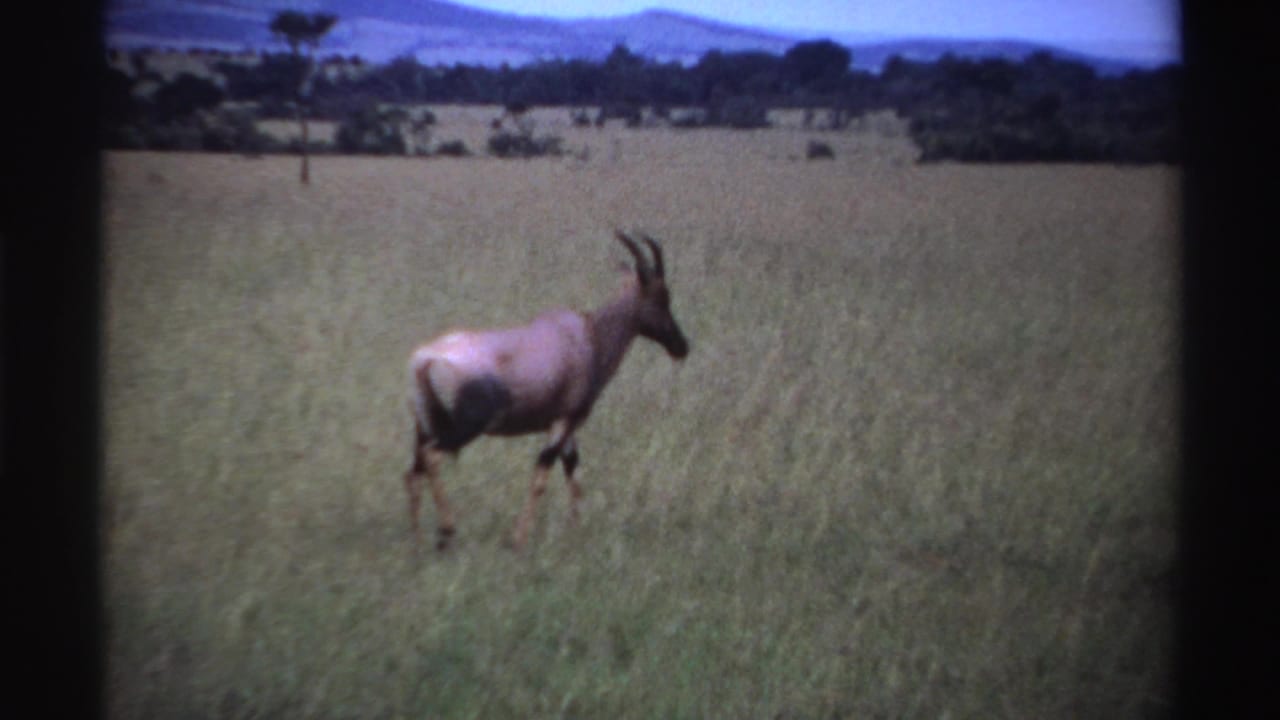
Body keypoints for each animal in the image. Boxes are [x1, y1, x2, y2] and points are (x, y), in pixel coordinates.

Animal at [404, 231, 690, 551]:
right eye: (661, 297)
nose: (681, 346)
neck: (587, 336)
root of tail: (425, 359)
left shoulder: (567, 426)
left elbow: (573, 472)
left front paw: (576, 534)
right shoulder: (563, 421)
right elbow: (542, 476)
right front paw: (519, 541)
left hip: (425, 425)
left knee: (412, 472)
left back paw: (417, 541)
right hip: (464, 427)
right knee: (432, 458)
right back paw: (446, 530)